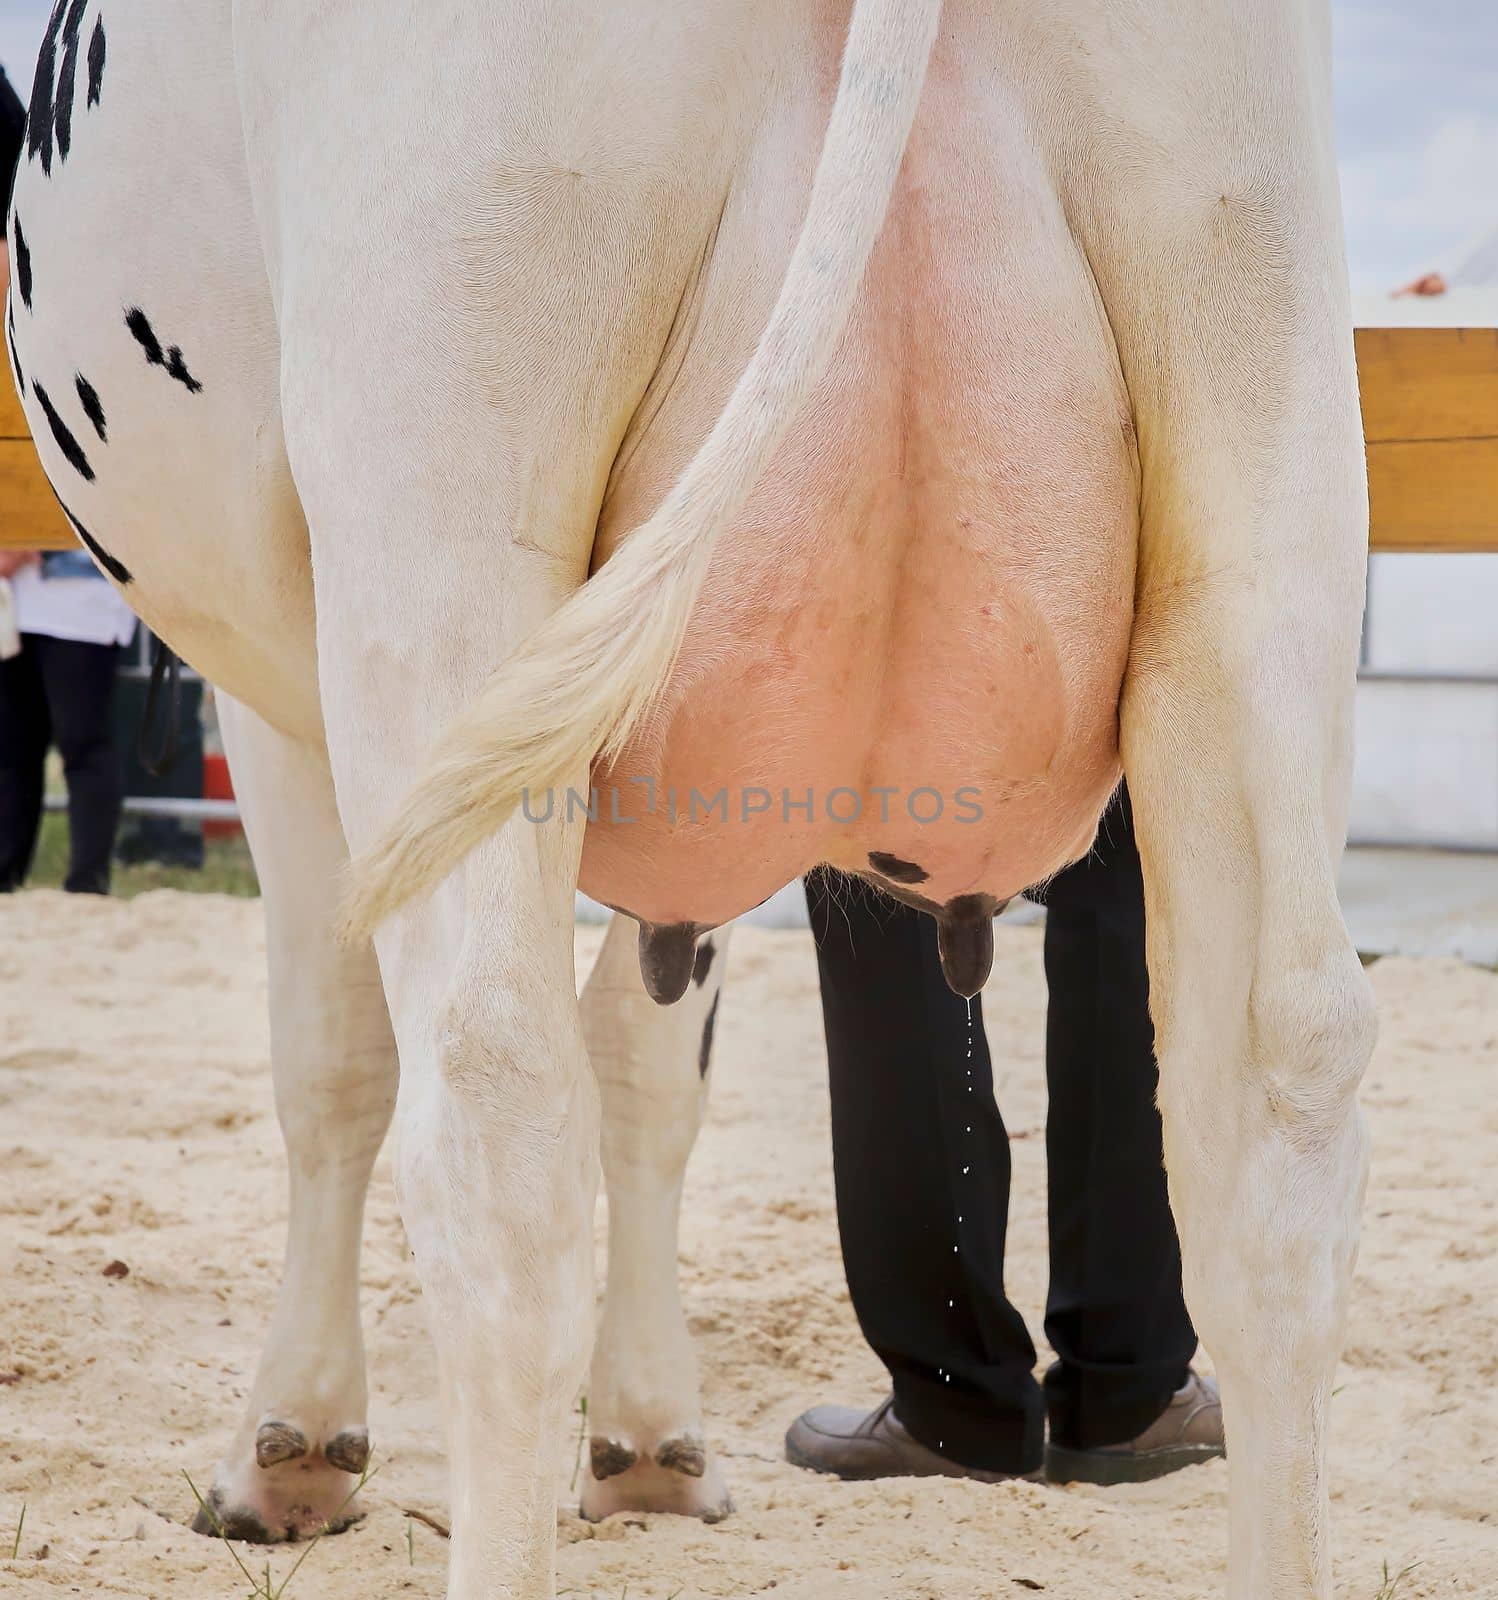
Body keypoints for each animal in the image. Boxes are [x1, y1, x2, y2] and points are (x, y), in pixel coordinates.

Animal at [11, 3, 1376, 1600]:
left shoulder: (280, 693)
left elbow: (334, 1061)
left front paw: (290, 1447)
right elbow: (654, 1069)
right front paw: (653, 1446)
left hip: (443, 501)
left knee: (495, 1098)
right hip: (1260, 477)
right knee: (1273, 1098)